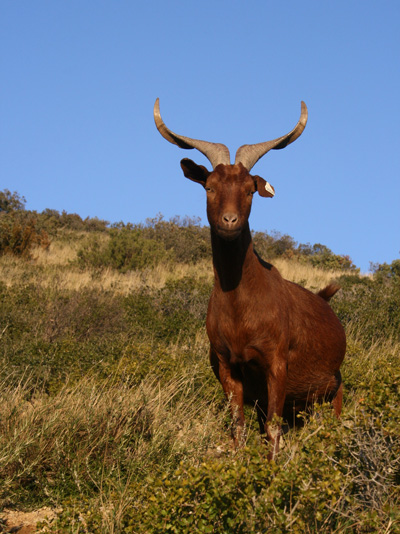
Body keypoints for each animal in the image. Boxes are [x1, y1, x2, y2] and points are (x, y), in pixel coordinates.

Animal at [154, 98, 346, 458]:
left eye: (249, 190)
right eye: (210, 187)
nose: (229, 221)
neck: (240, 310)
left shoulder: (276, 363)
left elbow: (273, 428)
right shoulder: (227, 365)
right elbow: (238, 428)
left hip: (333, 389)